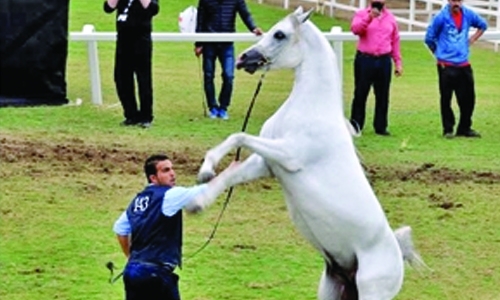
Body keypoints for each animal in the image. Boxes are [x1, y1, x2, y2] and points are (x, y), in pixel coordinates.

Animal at [187, 7, 422, 300]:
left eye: (279, 34)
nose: (244, 58)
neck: (310, 107)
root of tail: (397, 254)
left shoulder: (288, 156)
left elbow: (239, 136)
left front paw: (204, 175)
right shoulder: (266, 164)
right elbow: (231, 172)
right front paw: (199, 194)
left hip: (371, 292)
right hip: (332, 286)